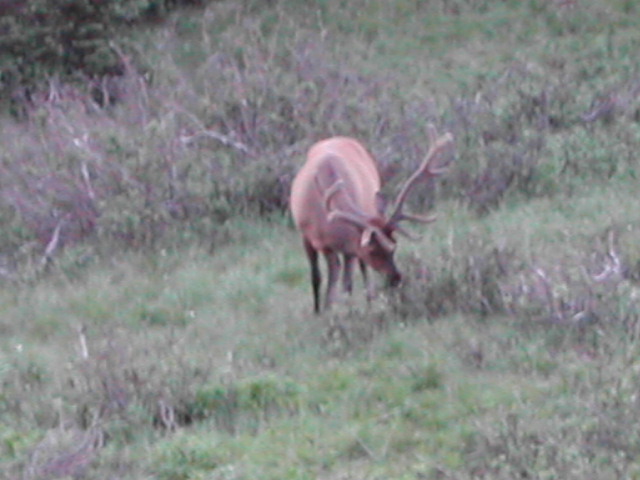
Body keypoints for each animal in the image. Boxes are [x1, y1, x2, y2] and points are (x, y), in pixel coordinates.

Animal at [290, 124, 456, 314]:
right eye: (372, 250)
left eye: (394, 247)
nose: (396, 278)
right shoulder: (308, 236)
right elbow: (317, 278)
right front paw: (320, 311)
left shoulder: (350, 246)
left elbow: (346, 283)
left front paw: (342, 309)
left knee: (360, 272)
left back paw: (368, 299)